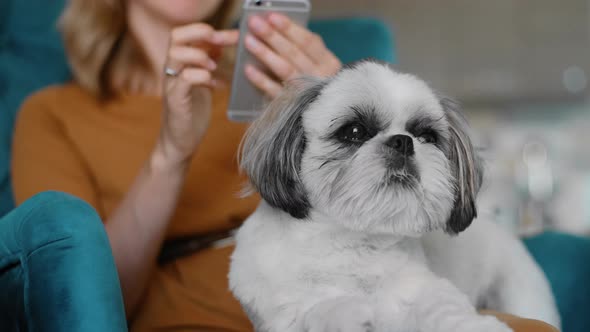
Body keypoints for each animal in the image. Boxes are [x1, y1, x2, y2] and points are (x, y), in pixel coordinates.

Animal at [229, 60, 560, 332]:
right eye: (354, 131)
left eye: (427, 136)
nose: (403, 141)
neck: (353, 244)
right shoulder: (283, 312)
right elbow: (318, 309)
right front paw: (349, 314)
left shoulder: (422, 289)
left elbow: (446, 310)